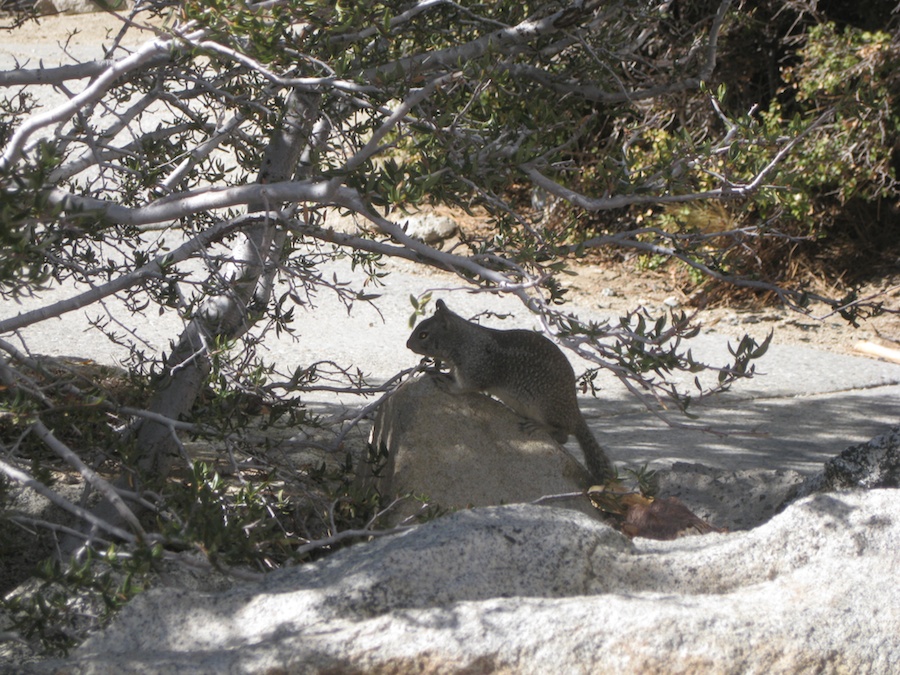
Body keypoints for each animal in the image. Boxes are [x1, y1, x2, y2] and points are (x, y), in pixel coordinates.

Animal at [406, 300, 612, 480]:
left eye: (423, 334)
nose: (407, 344)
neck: (464, 341)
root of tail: (575, 412)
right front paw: (438, 371)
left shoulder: (476, 368)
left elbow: (464, 387)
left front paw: (447, 384)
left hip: (546, 408)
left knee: (563, 434)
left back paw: (538, 426)